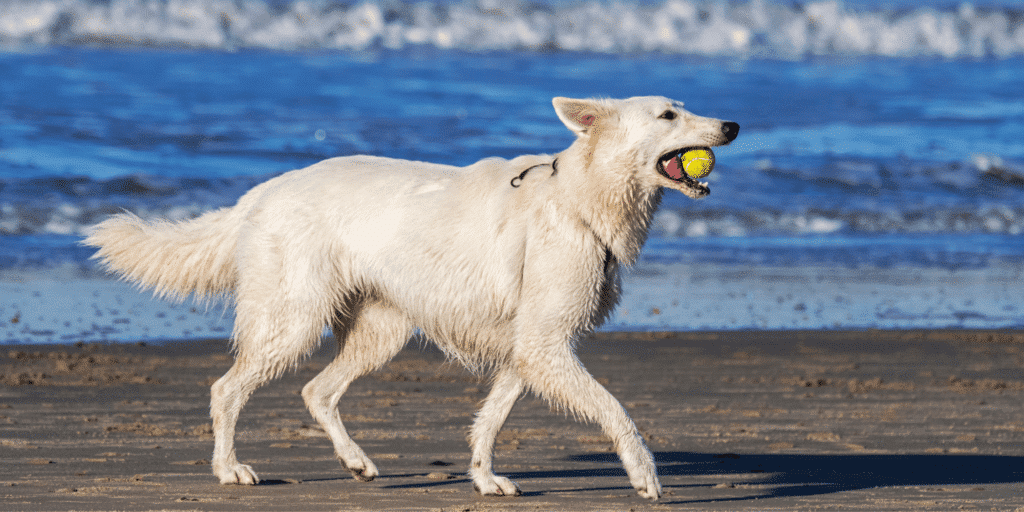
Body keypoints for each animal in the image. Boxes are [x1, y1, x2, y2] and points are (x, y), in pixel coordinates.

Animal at [81, 96, 737, 499]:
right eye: (668, 114)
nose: (732, 127)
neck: (580, 198)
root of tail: (260, 193)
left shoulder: (529, 349)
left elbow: (490, 421)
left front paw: (484, 479)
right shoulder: (547, 347)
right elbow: (616, 411)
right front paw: (646, 476)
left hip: (381, 330)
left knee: (317, 391)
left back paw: (356, 461)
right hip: (295, 319)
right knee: (227, 389)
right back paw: (229, 470)